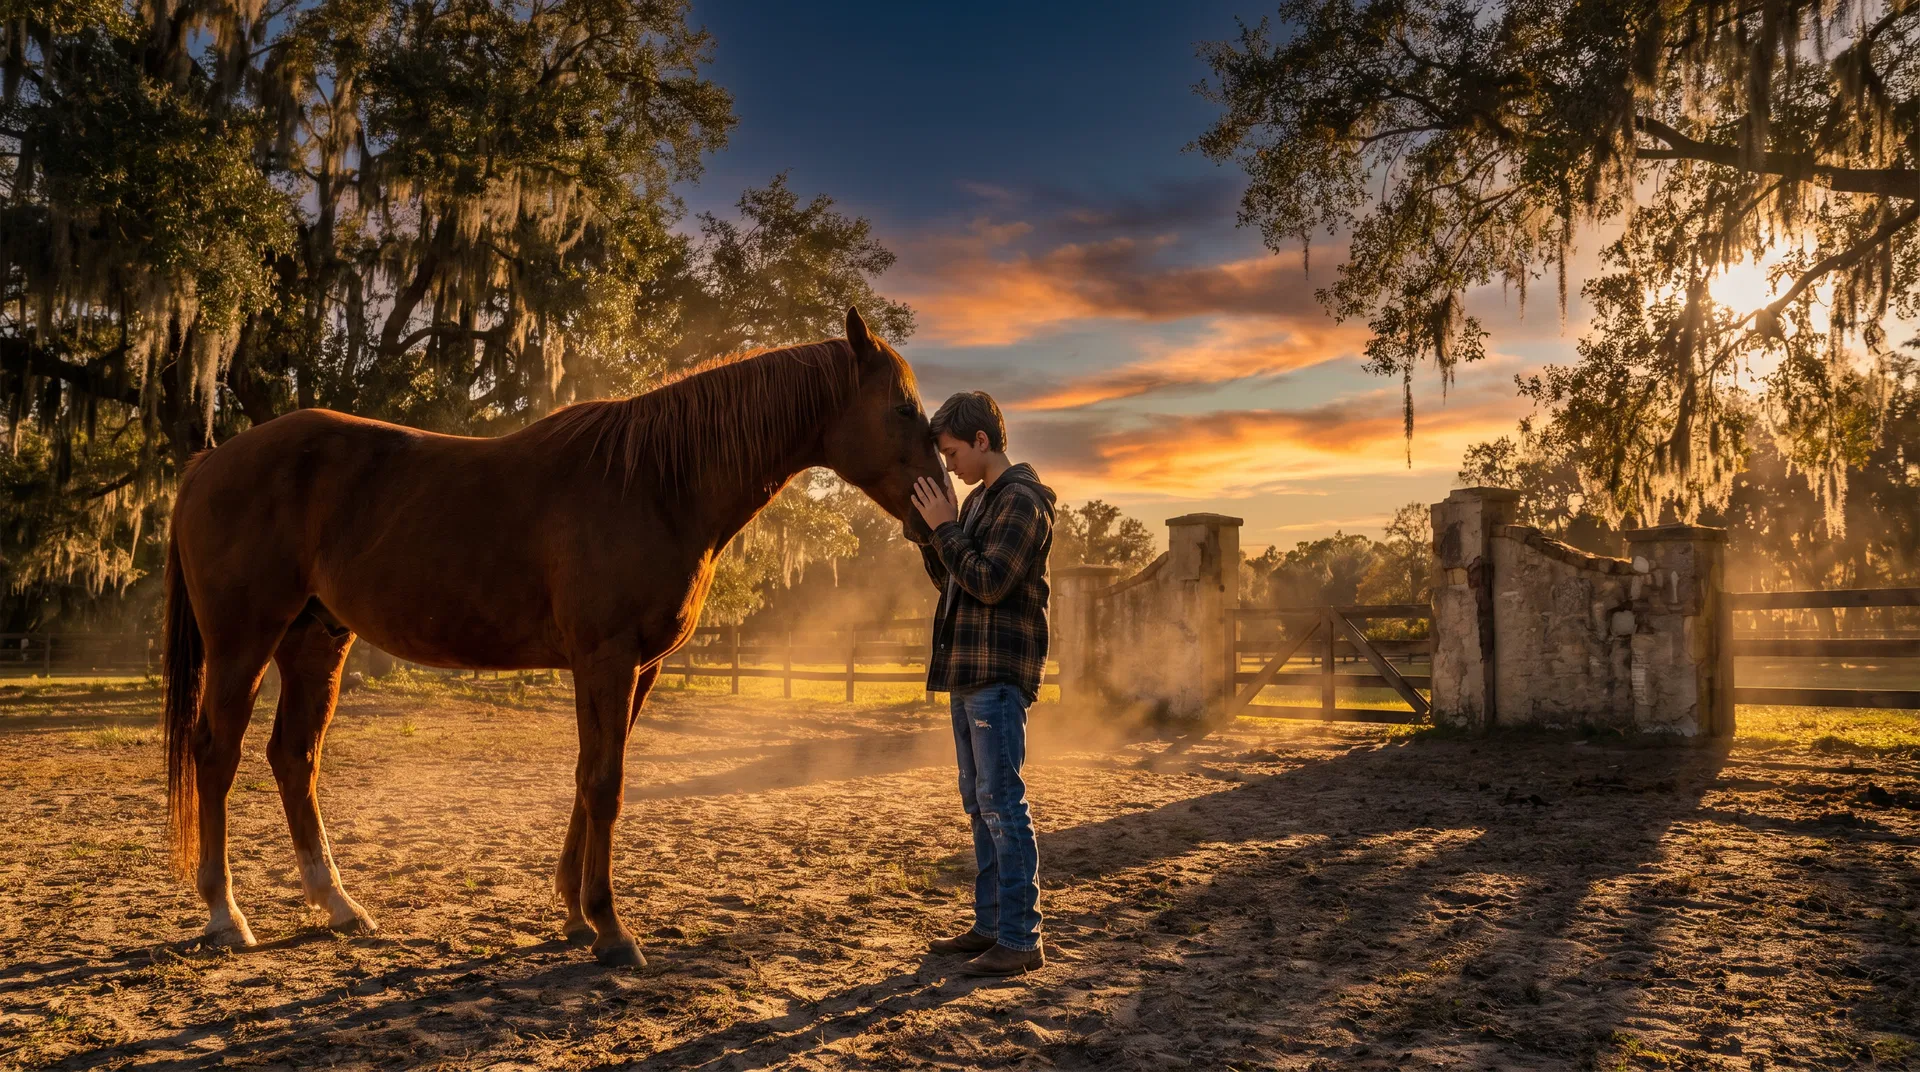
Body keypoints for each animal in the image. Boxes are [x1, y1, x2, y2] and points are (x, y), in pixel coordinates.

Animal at [162, 307, 946, 965]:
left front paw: (573, 911)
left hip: (315, 641)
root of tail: (208, 463)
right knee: (218, 753)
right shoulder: (608, 658)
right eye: (903, 409)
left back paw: (339, 906)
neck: (658, 483)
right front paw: (610, 927)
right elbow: (605, 783)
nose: (939, 511)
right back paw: (226, 915)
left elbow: (587, 773)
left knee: (294, 757)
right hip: (242, 642)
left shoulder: (638, 668)